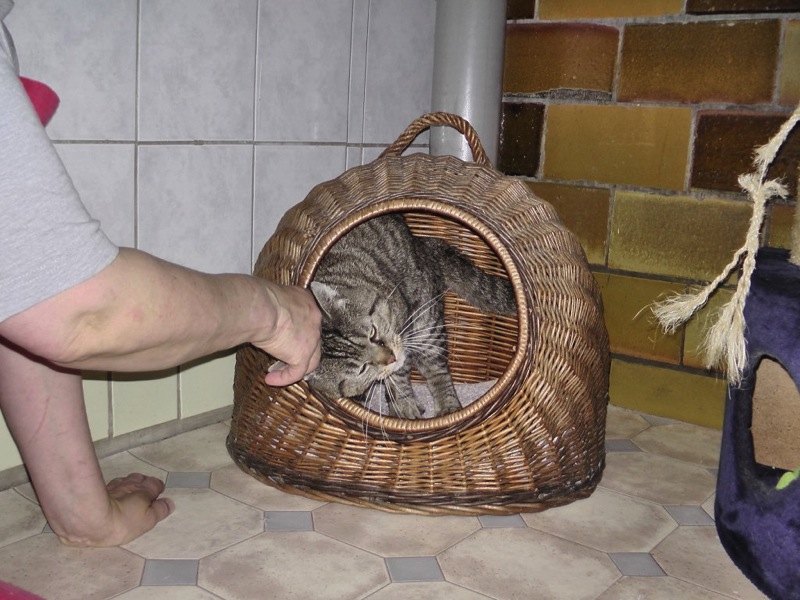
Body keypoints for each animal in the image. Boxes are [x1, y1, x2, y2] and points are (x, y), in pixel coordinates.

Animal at [305, 213, 516, 419]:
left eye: (373, 333)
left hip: (427, 319)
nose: (391, 357)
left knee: (437, 368)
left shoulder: (406, 325)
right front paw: (401, 404)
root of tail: (422, 245)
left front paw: (404, 403)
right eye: (362, 368)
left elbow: (403, 372)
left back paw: (448, 408)